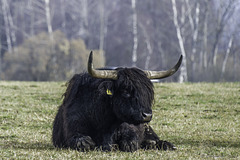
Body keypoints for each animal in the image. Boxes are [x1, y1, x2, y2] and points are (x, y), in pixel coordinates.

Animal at [52, 52, 182, 152]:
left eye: (147, 92)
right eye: (125, 91)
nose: (147, 115)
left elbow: (130, 142)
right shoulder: (73, 129)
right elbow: (84, 142)